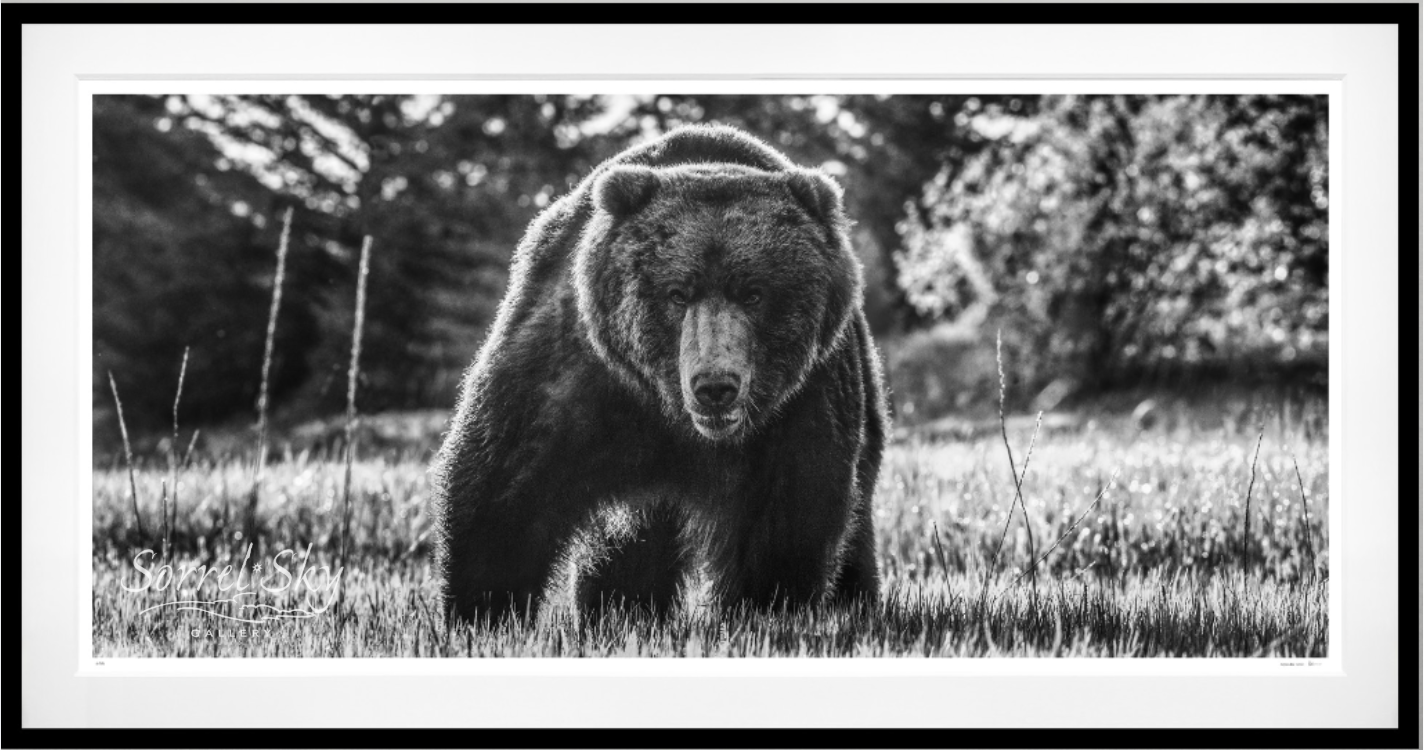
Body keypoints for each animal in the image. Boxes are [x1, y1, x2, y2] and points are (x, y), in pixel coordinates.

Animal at [430, 124, 888, 627]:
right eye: (677, 293)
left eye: (754, 293)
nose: (715, 387)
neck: (674, 418)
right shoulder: (575, 373)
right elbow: (504, 487)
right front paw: (482, 614)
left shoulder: (801, 402)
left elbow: (785, 524)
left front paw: (764, 614)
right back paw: (622, 612)